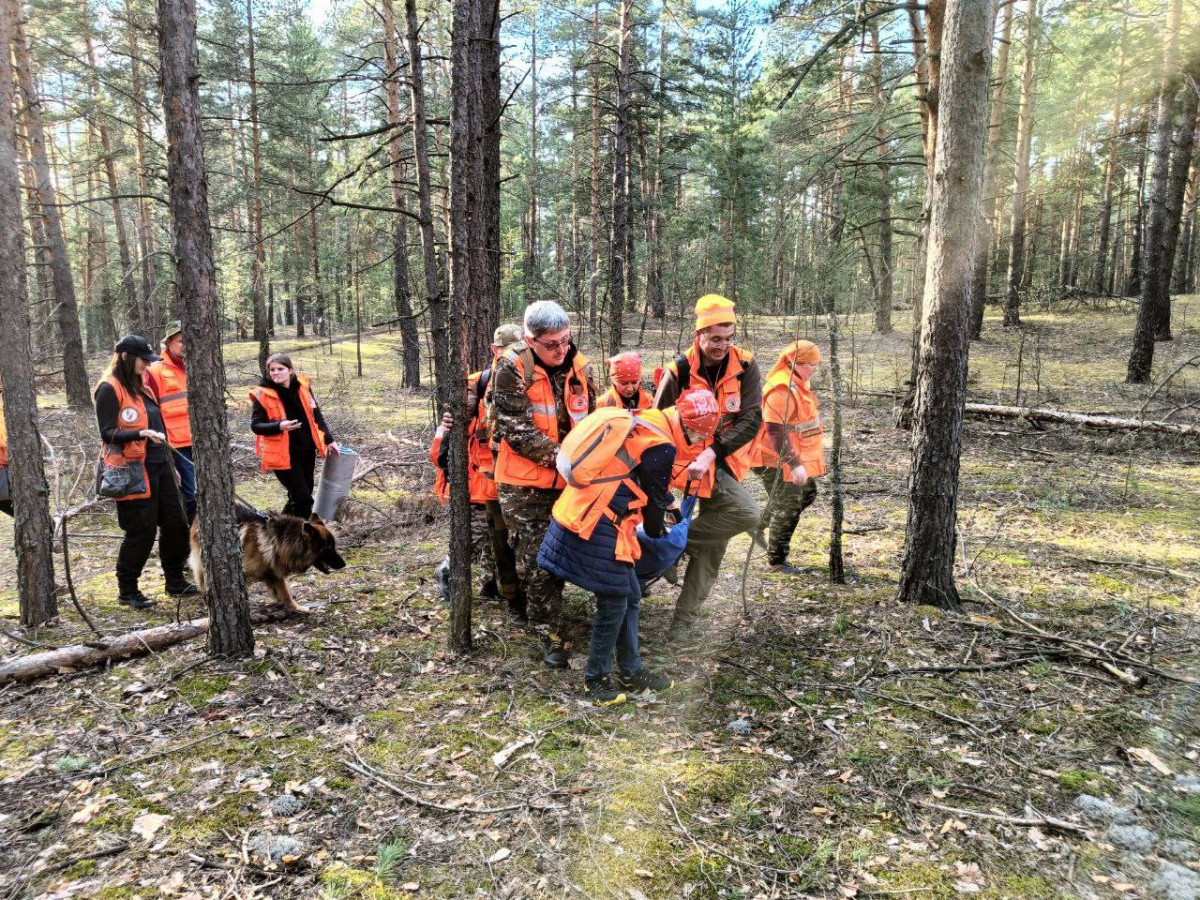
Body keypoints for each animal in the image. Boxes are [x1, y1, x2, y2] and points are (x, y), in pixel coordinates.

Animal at [187, 504, 345, 619]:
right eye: (328, 548)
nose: (344, 564)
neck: (280, 541)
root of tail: (197, 515)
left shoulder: (274, 571)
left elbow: (285, 593)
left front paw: (296, 608)